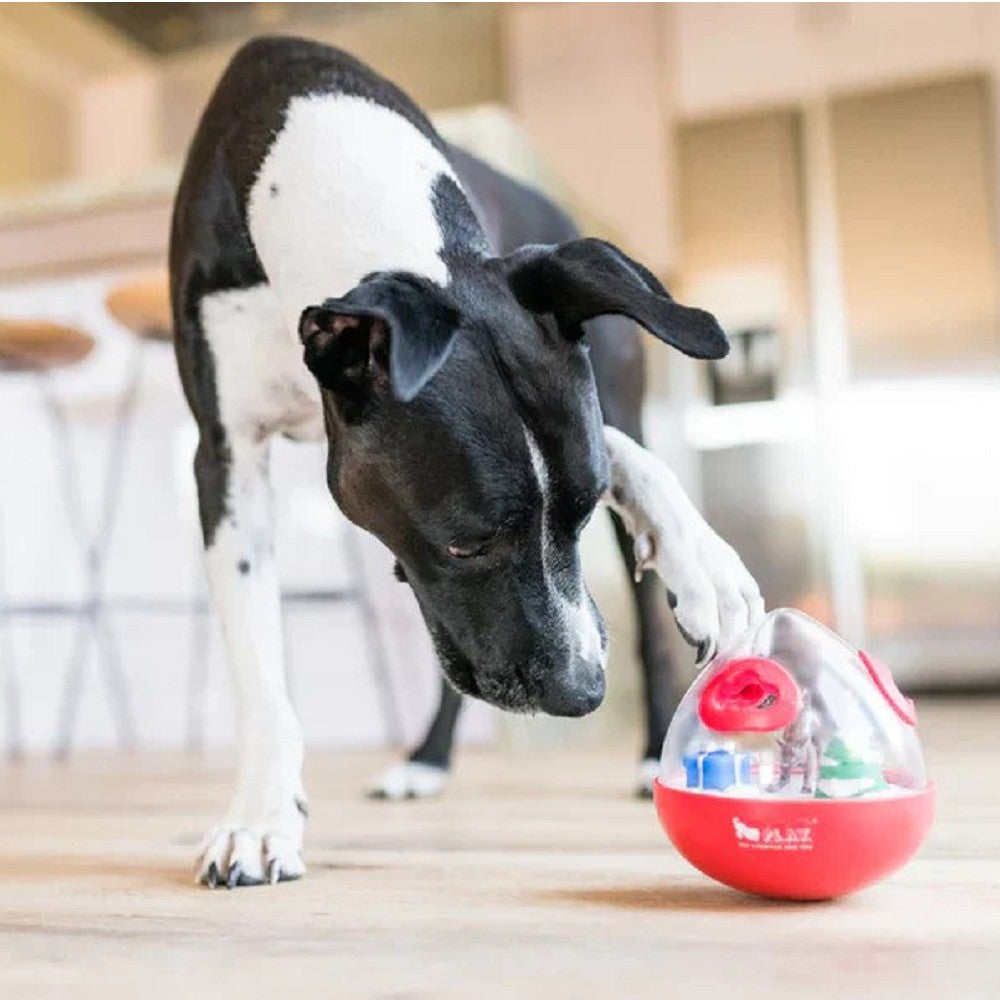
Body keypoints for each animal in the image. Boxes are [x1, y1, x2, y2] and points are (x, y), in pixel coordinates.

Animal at [174, 35, 764, 888]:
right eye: (465, 542)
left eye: (581, 518)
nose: (582, 692)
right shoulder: (228, 457)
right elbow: (260, 668)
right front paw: (260, 816)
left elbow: (629, 462)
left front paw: (705, 563)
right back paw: (428, 760)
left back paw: (652, 746)